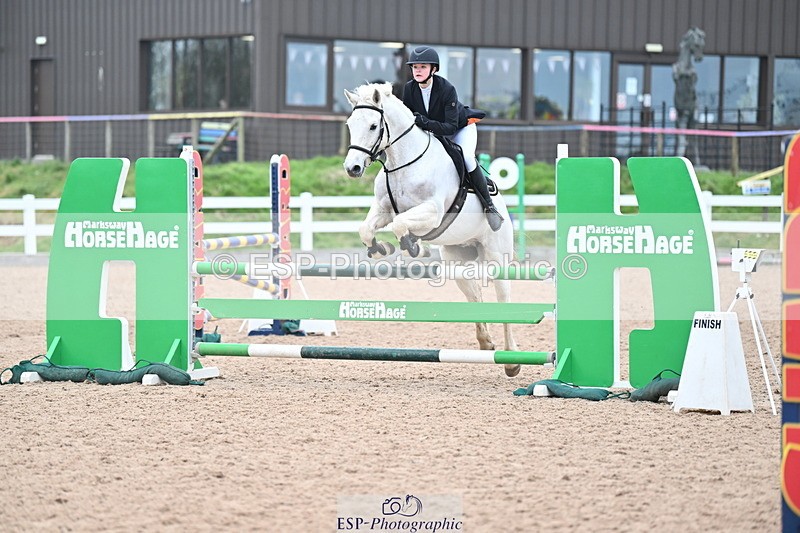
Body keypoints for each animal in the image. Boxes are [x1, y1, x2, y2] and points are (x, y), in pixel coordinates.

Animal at [342, 83, 521, 377]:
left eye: (372, 126)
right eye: (350, 124)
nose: (352, 168)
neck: (403, 162)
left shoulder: (432, 212)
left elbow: (400, 225)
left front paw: (412, 246)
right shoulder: (382, 209)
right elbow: (366, 229)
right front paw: (380, 248)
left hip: (497, 256)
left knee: (504, 297)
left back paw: (512, 362)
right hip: (457, 262)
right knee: (475, 295)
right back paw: (486, 343)